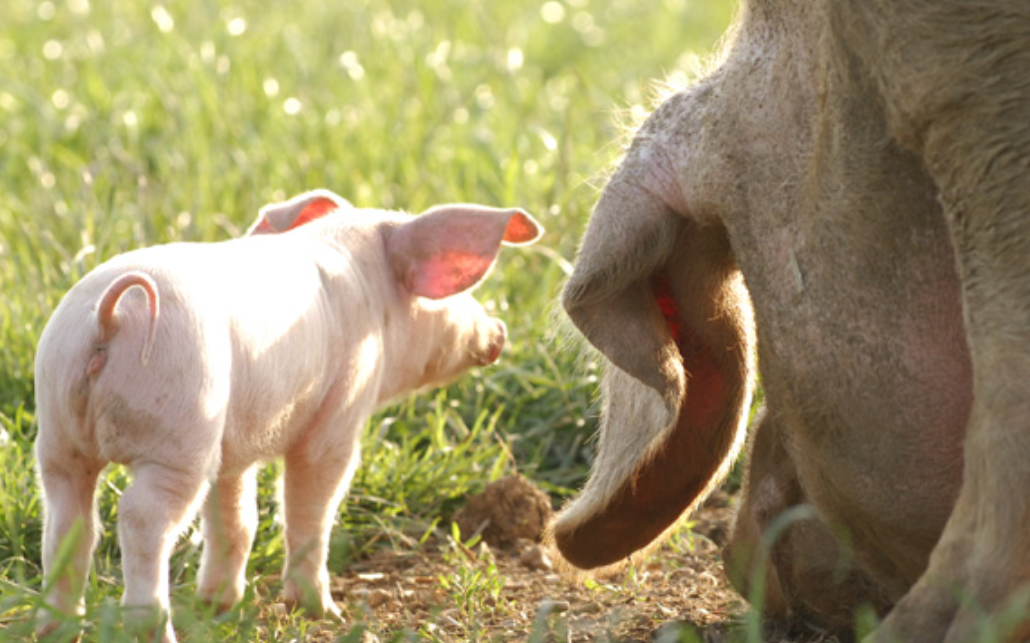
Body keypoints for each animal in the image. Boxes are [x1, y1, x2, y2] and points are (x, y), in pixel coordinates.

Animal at [35, 190, 543, 643]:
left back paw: (56, 629)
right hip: (179, 434)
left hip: (60, 435)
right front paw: (325, 613)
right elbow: (310, 506)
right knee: (140, 518)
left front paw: (218, 607)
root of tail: (109, 319)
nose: (499, 331)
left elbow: (238, 519)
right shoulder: (342, 407)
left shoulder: (234, 447)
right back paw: (153, 631)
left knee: (70, 523)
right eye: (453, 295)